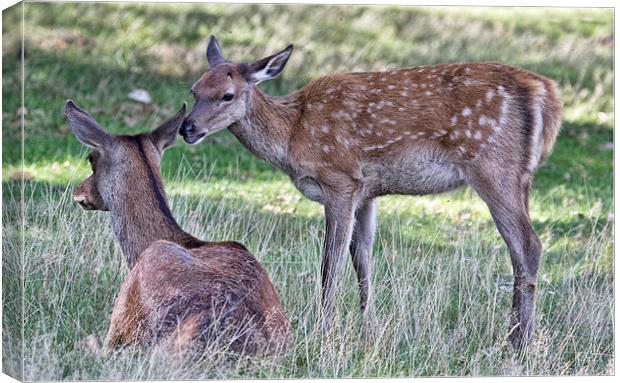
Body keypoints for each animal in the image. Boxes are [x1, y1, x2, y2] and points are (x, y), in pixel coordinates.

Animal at [179, 36, 560, 352]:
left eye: (227, 95)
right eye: (194, 90)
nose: (188, 128)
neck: (292, 136)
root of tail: (546, 93)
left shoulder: (340, 179)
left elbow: (330, 262)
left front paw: (323, 331)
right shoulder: (366, 192)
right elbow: (362, 258)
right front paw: (370, 330)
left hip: (493, 167)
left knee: (528, 245)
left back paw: (517, 342)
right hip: (520, 177)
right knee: (523, 247)